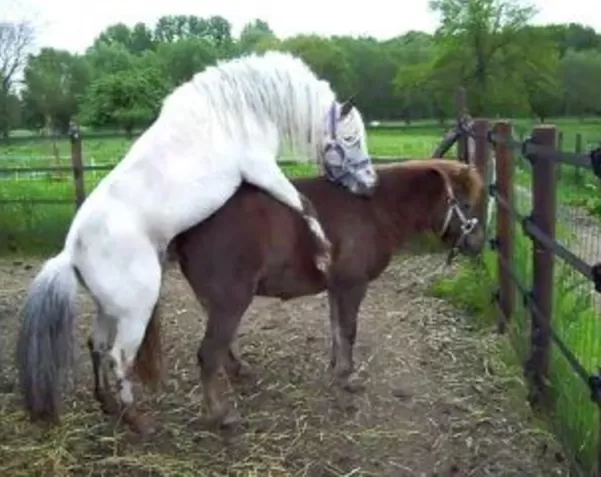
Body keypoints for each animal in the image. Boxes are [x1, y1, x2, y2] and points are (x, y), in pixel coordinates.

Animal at [16, 50, 378, 430]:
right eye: (351, 139)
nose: (371, 184)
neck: (241, 109)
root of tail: (70, 252)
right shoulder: (262, 169)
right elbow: (304, 204)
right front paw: (323, 253)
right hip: (135, 312)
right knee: (119, 357)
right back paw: (138, 421)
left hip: (108, 309)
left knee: (96, 345)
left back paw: (109, 406)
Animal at [89, 159, 486, 432]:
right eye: (465, 203)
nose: (479, 244)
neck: (373, 209)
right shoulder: (353, 286)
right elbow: (349, 331)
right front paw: (347, 378)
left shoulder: (337, 288)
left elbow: (337, 330)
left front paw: (337, 369)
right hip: (231, 301)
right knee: (208, 354)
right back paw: (219, 415)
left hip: (216, 301)